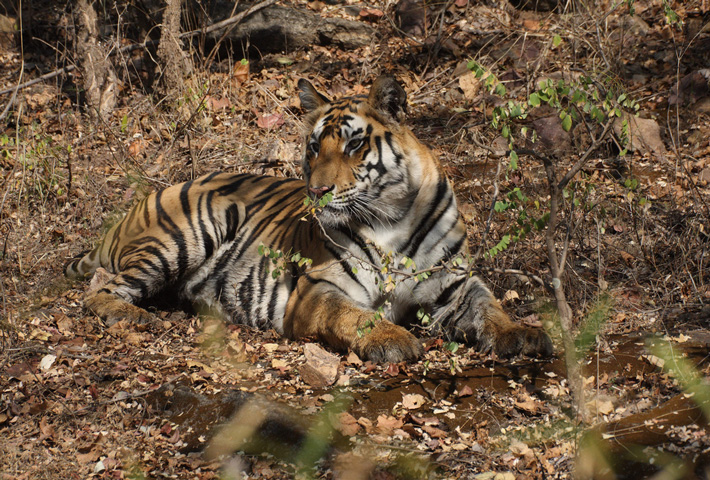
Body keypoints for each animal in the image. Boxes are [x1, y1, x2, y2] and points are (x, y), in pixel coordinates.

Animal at [65, 75, 556, 362]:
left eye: (354, 144)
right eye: (315, 146)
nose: (318, 191)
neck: (392, 215)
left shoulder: (454, 284)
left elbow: (490, 307)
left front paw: (522, 334)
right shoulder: (319, 289)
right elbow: (355, 316)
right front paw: (393, 339)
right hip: (190, 231)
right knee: (100, 291)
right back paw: (133, 317)